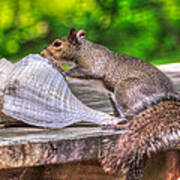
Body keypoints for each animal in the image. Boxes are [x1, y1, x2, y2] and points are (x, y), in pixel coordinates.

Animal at [40, 28, 180, 180]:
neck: (83, 49)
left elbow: (81, 71)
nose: (42, 53)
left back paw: (120, 125)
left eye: (57, 43)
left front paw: (61, 69)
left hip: (125, 90)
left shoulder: (93, 65)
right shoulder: (109, 94)